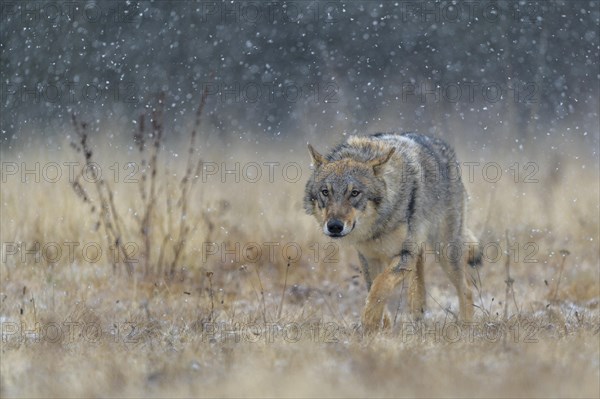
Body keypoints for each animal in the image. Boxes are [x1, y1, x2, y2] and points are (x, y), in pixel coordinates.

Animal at [304, 133, 482, 332]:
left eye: (355, 193)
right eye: (325, 192)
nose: (334, 226)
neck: (379, 227)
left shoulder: (404, 254)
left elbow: (380, 287)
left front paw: (370, 321)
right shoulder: (369, 257)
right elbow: (373, 287)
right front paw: (380, 329)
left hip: (445, 252)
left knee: (466, 289)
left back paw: (466, 327)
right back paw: (418, 308)